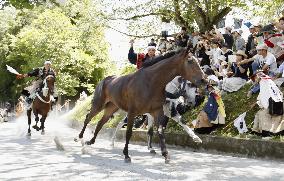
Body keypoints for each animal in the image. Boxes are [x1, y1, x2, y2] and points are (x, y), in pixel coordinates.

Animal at [75, 47, 206, 163]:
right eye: (190, 61)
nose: (204, 81)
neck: (151, 83)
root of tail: (105, 80)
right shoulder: (133, 112)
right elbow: (129, 132)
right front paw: (126, 155)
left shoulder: (158, 111)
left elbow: (160, 131)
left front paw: (166, 154)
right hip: (99, 104)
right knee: (89, 118)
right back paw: (80, 138)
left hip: (111, 108)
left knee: (100, 122)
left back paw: (91, 141)